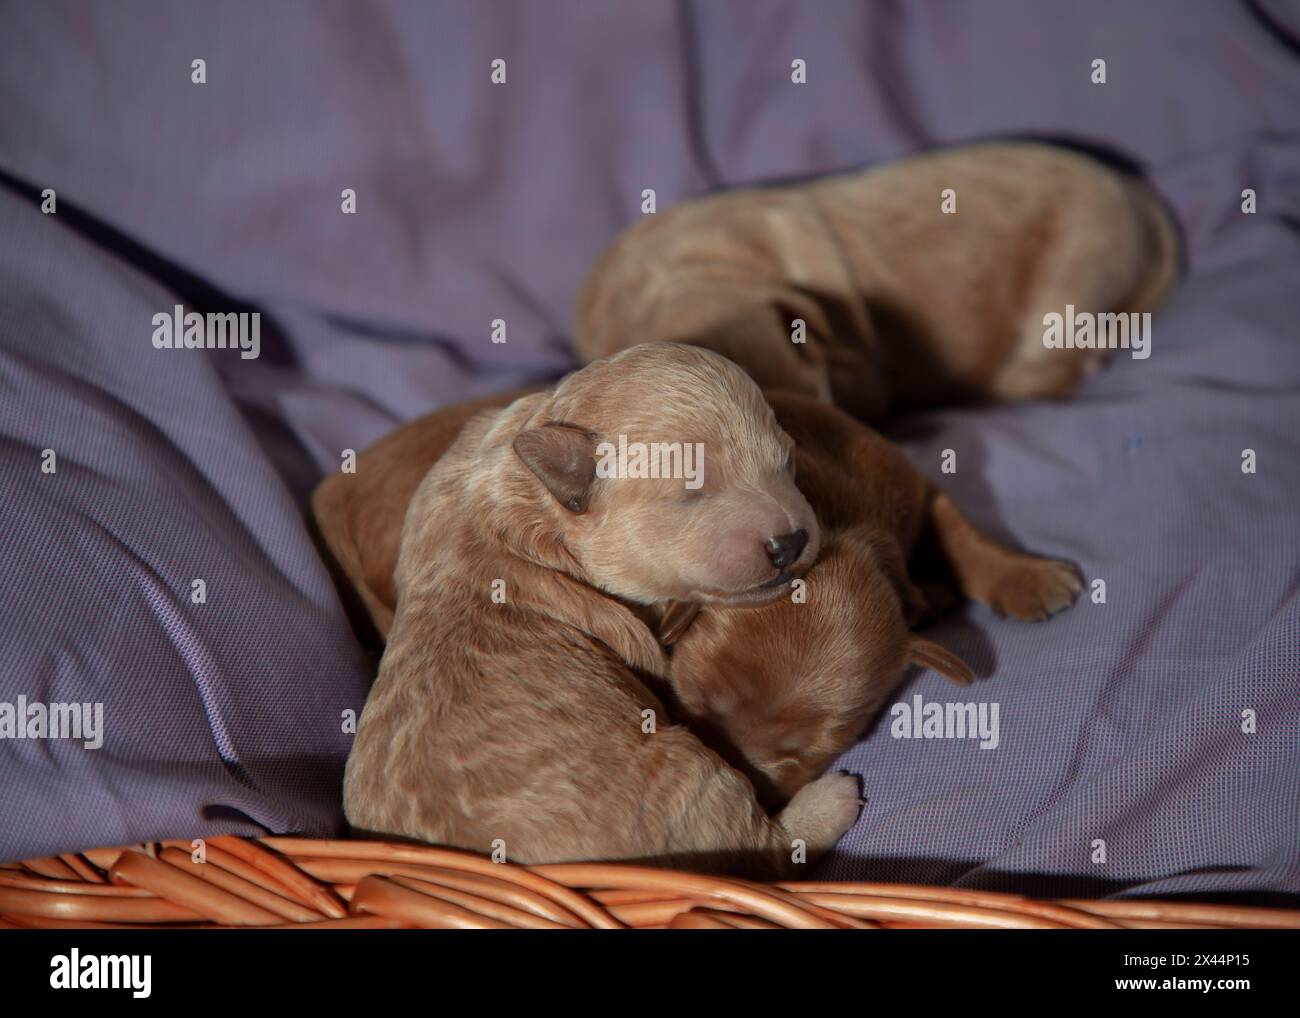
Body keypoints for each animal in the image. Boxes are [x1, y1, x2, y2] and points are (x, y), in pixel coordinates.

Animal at [343, 343, 863, 873]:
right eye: (693, 490)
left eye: (788, 462)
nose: (790, 541)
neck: (531, 502)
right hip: (689, 783)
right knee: (767, 846)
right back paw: (832, 800)